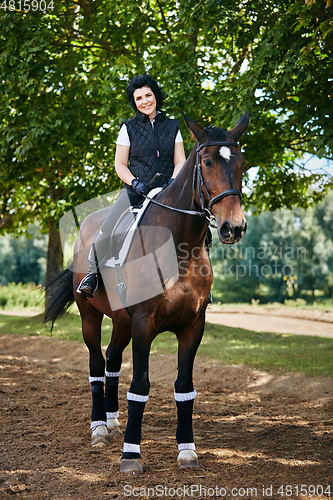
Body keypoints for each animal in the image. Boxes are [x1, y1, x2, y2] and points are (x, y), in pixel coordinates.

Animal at [44, 112, 248, 472]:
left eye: (241, 163)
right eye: (207, 162)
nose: (233, 228)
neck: (179, 246)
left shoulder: (193, 326)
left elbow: (184, 387)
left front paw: (187, 450)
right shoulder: (143, 323)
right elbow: (139, 385)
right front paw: (131, 454)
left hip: (121, 321)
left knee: (112, 360)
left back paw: (112, 421)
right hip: (90, 315)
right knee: (96, 364)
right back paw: (99, 428)